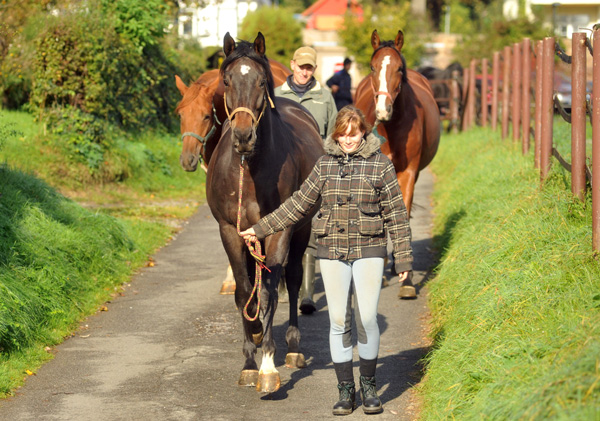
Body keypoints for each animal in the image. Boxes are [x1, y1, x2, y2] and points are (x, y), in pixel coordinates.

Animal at [207, 32, 328, 390]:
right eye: (226, 80)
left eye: (261, 81)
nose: (244, 135)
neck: (250, 169)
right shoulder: (231, 231)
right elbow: (245, 290)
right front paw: (250, 355)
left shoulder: (280, 231)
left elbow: (273, 290)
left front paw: (268, 366)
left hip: (301, 230)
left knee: (293, 278)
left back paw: (293, 347)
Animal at [354, 29, 438, 296]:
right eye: (373, 67)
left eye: (399, 68)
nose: (383, 110)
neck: (390, 128)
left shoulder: (408, 172)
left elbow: (403, 218)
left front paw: (407, 280)